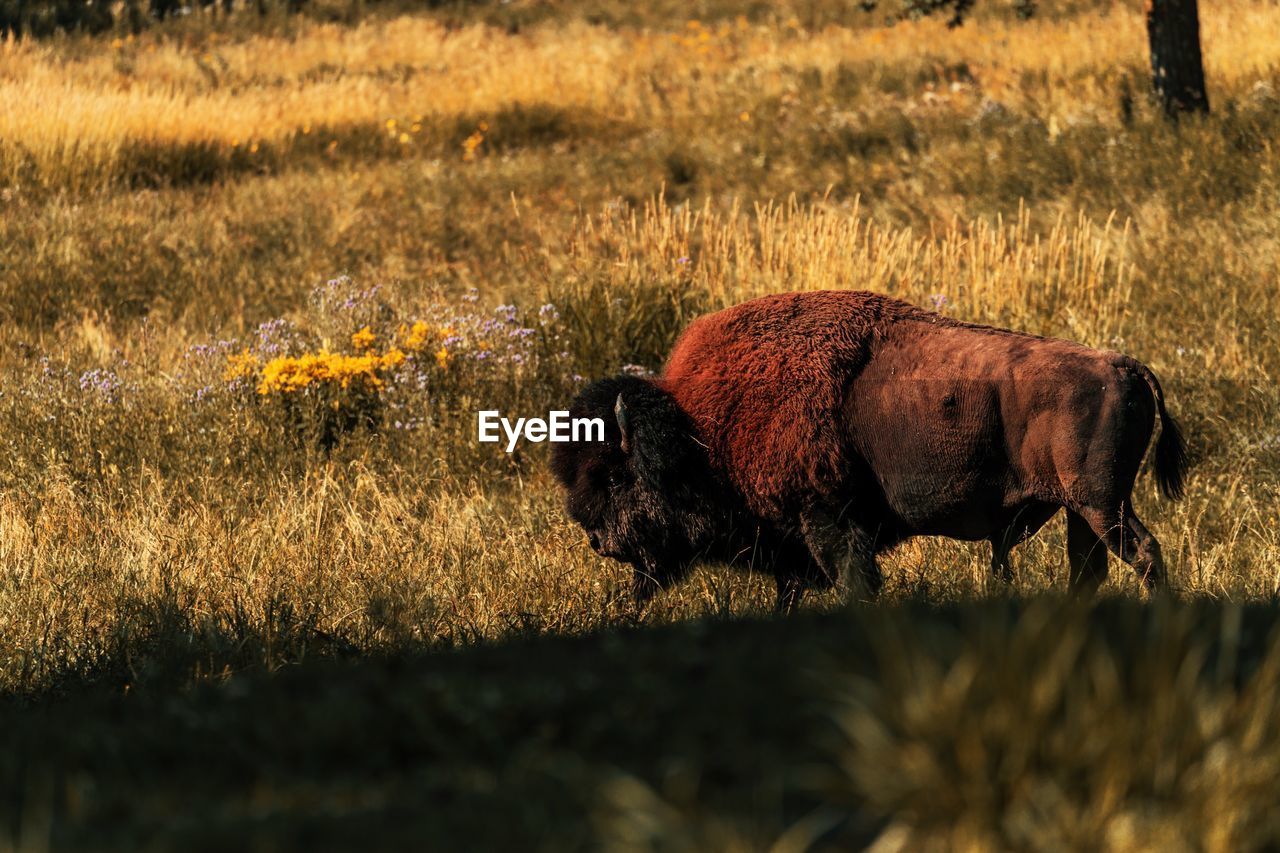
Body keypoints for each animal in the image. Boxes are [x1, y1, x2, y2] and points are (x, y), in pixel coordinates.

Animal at [552, 289, 1187, 607]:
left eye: (615, 476)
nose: (599, 539)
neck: (697, 432)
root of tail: (1123, 364)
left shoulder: (825, 520)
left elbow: (853, 581)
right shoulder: (795, 544)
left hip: (1102, 503)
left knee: (1143, 553)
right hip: (1082, 509)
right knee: (1092, 568)